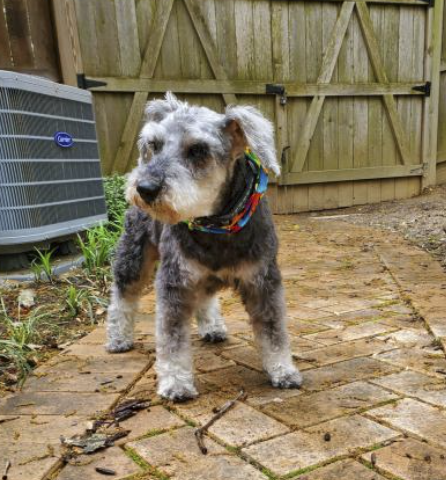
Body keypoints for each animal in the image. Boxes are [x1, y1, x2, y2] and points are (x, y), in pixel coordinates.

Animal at [106, 94, 302, 402]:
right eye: (154, 144)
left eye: (198, 149)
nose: (145, 188)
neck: (217, 224)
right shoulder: (174, 283)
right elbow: (171, 339)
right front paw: (176, 382)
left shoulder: (263, 282)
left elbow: (274, 331)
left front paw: (282, 370)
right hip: (133, 258)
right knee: (122, 297)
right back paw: (118, 338)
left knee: (206, 297)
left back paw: (212, 327)